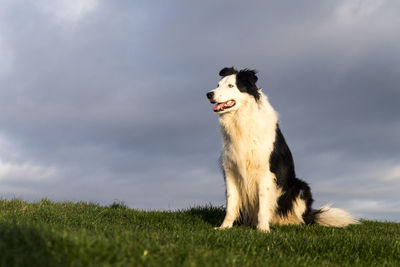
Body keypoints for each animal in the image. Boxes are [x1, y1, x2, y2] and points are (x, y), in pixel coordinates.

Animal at [208, 67, 358, 232]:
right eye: (218, 84)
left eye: (231, 86)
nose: (209, 94)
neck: (241, 120)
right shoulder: (231, 170)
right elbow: (231, 203)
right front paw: (224, 227)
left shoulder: (265, 172)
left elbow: (263, 203)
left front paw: (263, 229)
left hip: (300, 187)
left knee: (302, 219)